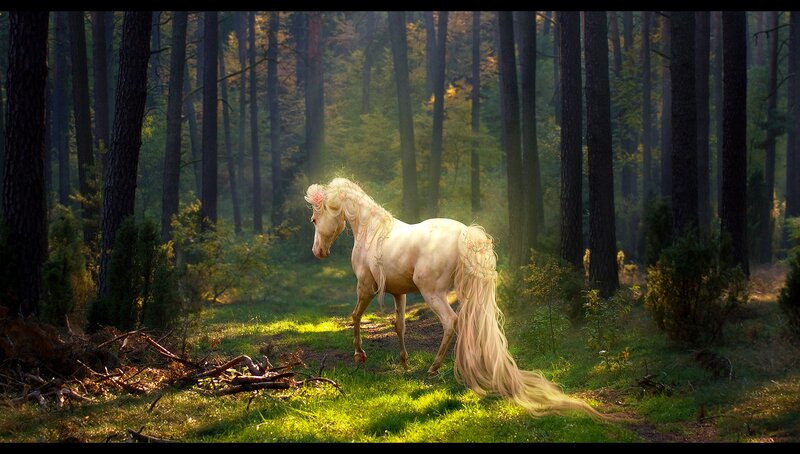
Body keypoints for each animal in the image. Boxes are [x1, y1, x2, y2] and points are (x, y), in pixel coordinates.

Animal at [305, 177, 600, 417]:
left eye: (315, 220)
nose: (318, 252)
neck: (373, 231)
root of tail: (464, 233)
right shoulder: (399, 293)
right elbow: (399, 326)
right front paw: (403, 362)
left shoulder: (365, 287)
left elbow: (355, 316)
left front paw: (359, 355)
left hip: (433, 293)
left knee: (451, 322)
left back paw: (435, 368)